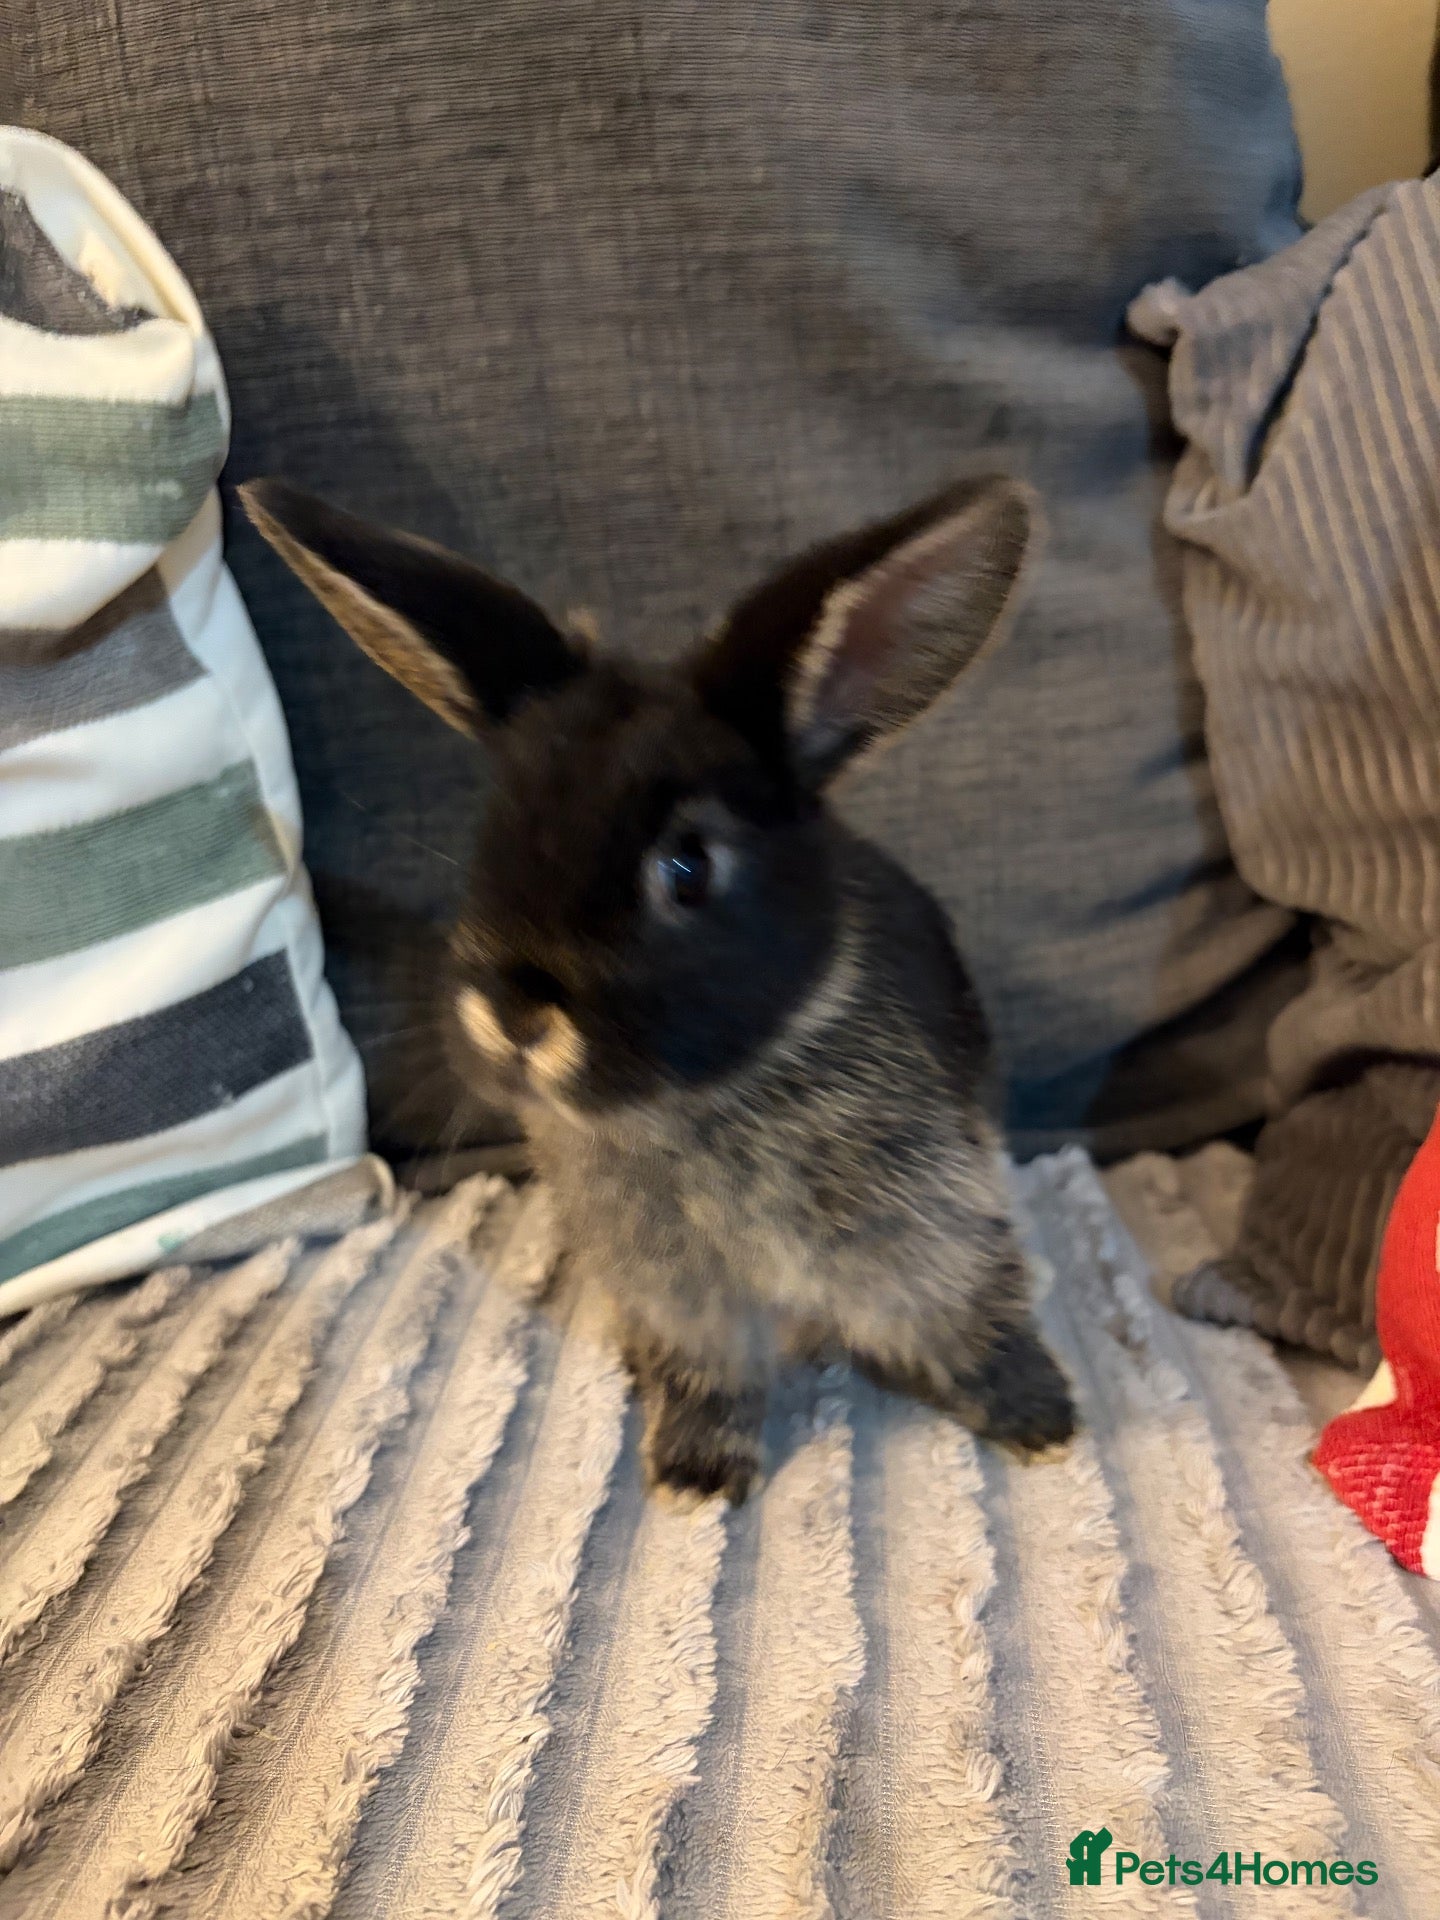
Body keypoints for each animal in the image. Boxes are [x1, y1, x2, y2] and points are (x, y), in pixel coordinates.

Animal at [241, 473, 1076, 1503]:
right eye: (489, 842)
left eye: (688, 868)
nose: (514, 1016)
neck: (701, 1103)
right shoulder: (681, 1294)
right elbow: (711, 1371)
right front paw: (697, 1476)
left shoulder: (928, 1227)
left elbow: (969, 1314)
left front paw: (1043, 1421)